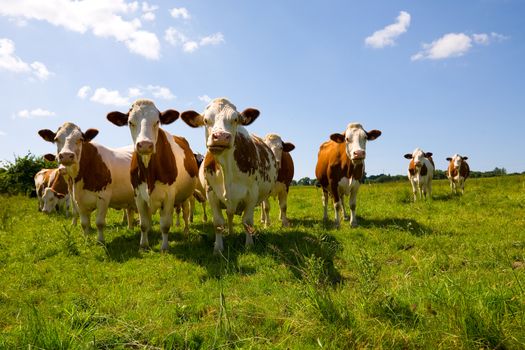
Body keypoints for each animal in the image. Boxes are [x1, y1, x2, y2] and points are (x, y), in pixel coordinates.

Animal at [105, 98, 198, 252]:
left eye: (157, 121)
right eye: (130, 122)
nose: (144, 145)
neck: (149, 174)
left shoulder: (169, 196)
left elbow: (165, 224)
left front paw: (164, 247)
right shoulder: (138, 195)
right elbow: (144, 224)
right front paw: (143, 245)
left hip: (186, 195)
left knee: (185, 212)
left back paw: (185, 232)